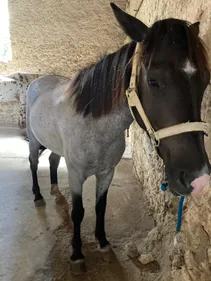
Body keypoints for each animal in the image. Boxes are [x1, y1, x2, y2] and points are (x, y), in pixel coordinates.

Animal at [26, 2, 211, 274]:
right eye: (153, 81)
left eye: (205, 81)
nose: (199, 179)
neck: (95, 128)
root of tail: (39, 81)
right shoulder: (76, 174)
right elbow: (78, 212)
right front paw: (77, 254)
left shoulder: (107, 173)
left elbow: (100, 207)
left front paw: (102, 242)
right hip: (33, 141)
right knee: (33, 162)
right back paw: (38, 196)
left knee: (51, 160)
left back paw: (53, 189)